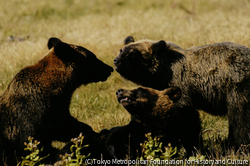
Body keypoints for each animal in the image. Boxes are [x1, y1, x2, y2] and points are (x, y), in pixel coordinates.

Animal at [0, 37, 113, 165]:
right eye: (93, 57)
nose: (109, 69)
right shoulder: (30, 113)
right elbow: (34, 142)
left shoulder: (57, 111)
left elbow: (68, 126)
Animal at [114, 36, 250, 149]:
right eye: (121, 50)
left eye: (133, 54)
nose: (116, 61)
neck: (160, 74)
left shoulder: (180, 87)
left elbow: (188, 120)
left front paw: (195, 148)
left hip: (237, 88)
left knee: (240, 121)